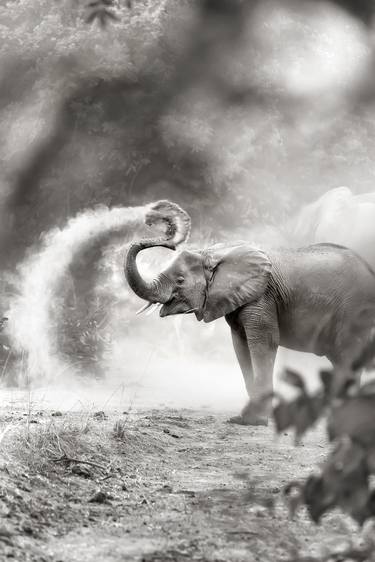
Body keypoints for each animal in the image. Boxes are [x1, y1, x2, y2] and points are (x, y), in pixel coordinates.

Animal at [125, 199, 375, 422]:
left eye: (180, 280)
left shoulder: (262, 296)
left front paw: (255, 421)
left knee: (346, 355)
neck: (213, 253)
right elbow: (241, 345)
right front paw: (244, 417)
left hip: (355, 310)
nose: (167, 237)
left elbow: (263, 342)